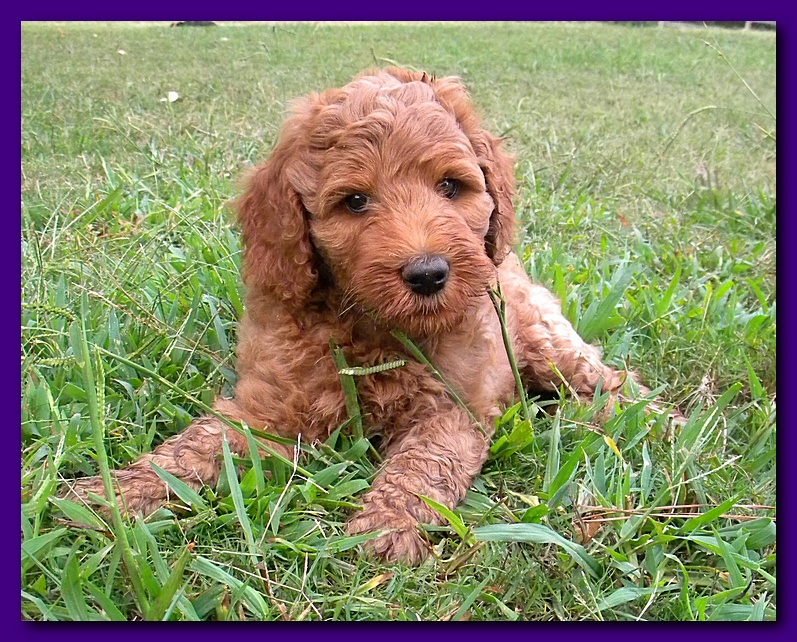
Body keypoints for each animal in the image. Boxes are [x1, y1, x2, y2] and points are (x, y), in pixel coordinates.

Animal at [67, 68, 657, 564]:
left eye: (450, 186)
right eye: (354, 201)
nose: (428, 274)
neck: (376, 329)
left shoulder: (455, 408)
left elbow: (423, 467)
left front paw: (386, 529)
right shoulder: (268, 407)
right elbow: (197, 446)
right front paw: (114, 495)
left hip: (540, 335)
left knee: (605, 378)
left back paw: (642, 419)